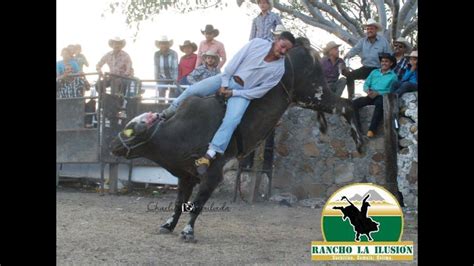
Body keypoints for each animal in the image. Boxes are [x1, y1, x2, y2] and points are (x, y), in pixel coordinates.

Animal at [110, 40, 362, 242]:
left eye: (132, 130)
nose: (113, 145)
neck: (181, 132)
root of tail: (303, 47)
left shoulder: (213, 174)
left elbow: (197, 204)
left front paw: (188, 232)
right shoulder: (185, 176)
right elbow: (179, 203)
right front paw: (168, 225)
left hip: (314, 92)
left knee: (346, 105)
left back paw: (360, 142)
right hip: (308, 97)